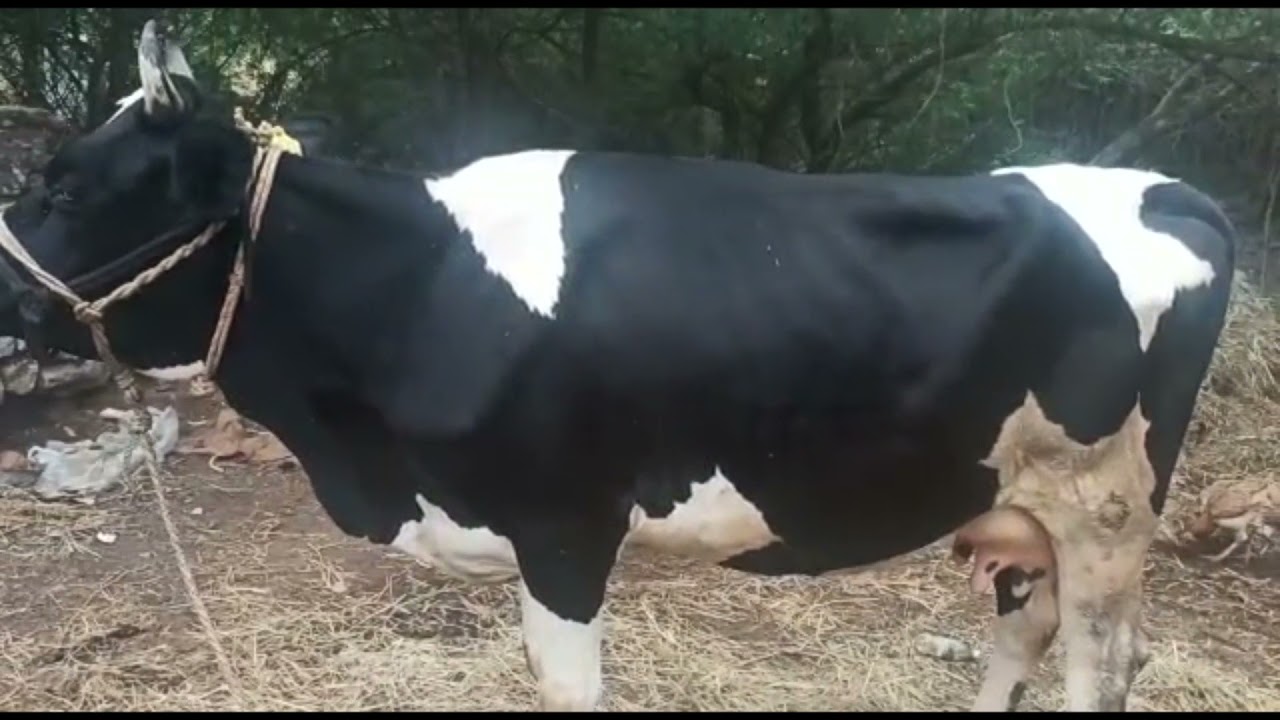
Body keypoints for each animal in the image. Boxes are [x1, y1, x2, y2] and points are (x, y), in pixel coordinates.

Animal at [0, 21, 1235, 712]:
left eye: (65, 187)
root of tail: (1166, 188)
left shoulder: (562, 529)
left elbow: (565, 686)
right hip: (1024, 506)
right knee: (1021, 634)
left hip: (1106, 506)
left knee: (1098, 665)